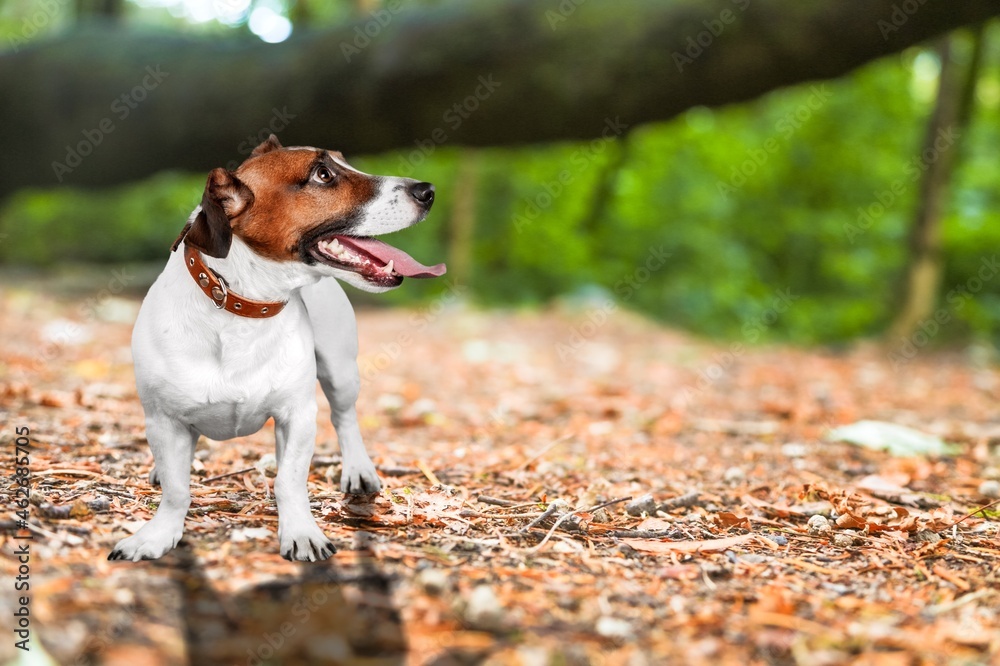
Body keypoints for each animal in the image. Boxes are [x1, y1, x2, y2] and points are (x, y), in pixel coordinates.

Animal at [106, 135, 446, 560]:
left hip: (340, 371)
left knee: (344, 418)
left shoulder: (298, 415)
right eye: (323, 174)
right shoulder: (163, 420)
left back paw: (357, 469)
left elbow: (291, 480)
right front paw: (156, 535)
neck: (241, 306)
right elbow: (176, 489)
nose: (429, 191)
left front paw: (301, 532)